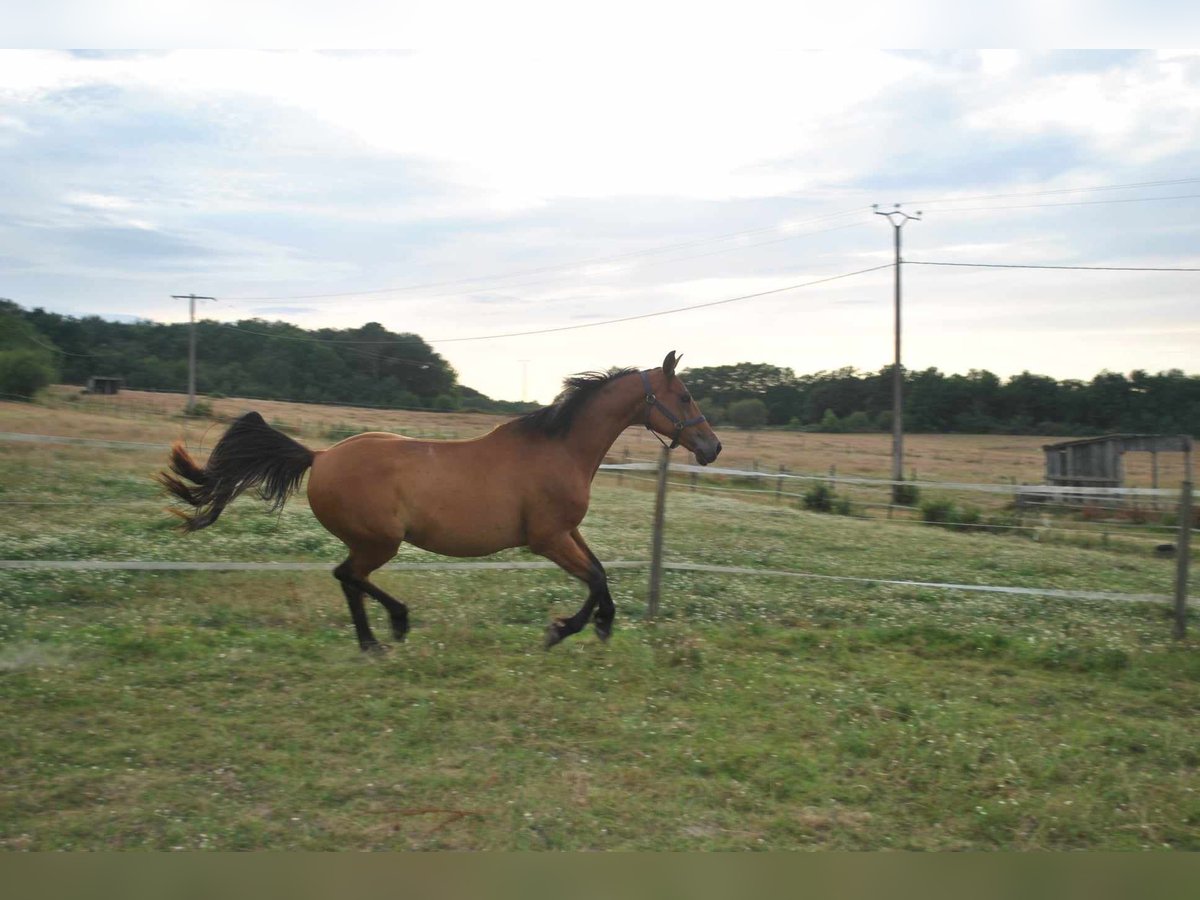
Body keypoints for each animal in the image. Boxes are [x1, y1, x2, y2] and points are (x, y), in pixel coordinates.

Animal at [158, 355, 720, 657]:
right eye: (686, 397)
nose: (713, 448)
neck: (558, 448)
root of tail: (321, 456)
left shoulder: (567, 533)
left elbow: (600, 572)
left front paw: (593, 624)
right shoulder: (547, 540)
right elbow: (596, 578)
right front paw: (567, 629)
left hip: (374, 543)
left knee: (348, 579)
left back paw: (376, 640)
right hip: (379, 542)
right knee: (348, 576)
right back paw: (391, 629)